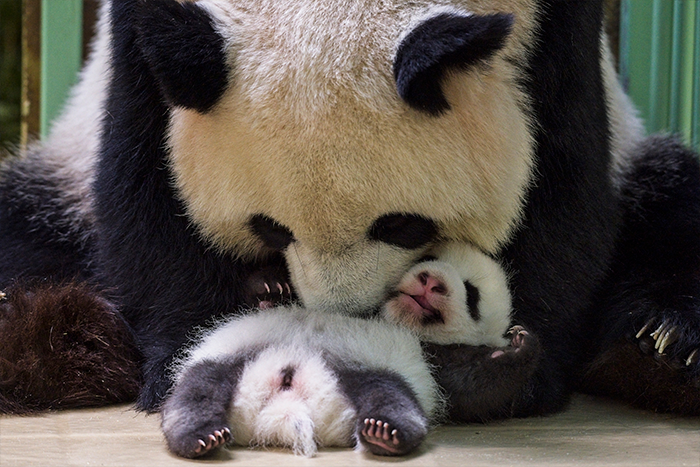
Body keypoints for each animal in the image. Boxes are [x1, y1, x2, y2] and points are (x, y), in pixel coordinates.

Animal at [1, 0, 699, 418]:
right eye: (268, 227)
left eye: (404, 224)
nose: (347, 315)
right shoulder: (139, 44)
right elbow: (144, 179)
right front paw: (189, 359)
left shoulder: (556, 29)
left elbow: (562, 179)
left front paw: (493, 375)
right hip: (59, 174)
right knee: (26, 222)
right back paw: (41, 332)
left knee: (672, 202)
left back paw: (661, 347)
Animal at [161, 242, 525, 458]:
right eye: (426, 258)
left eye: (472, 294)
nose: (430, 281)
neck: (384, 315)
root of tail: (284, 410)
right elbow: (251, 300)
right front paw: (272, 286)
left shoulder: (430, 355)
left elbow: (470, 387)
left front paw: (520, 345)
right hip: (232, 360)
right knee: (196, 394)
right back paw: (199, 437)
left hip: (373, 373)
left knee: (393, 397)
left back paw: (386, 433)